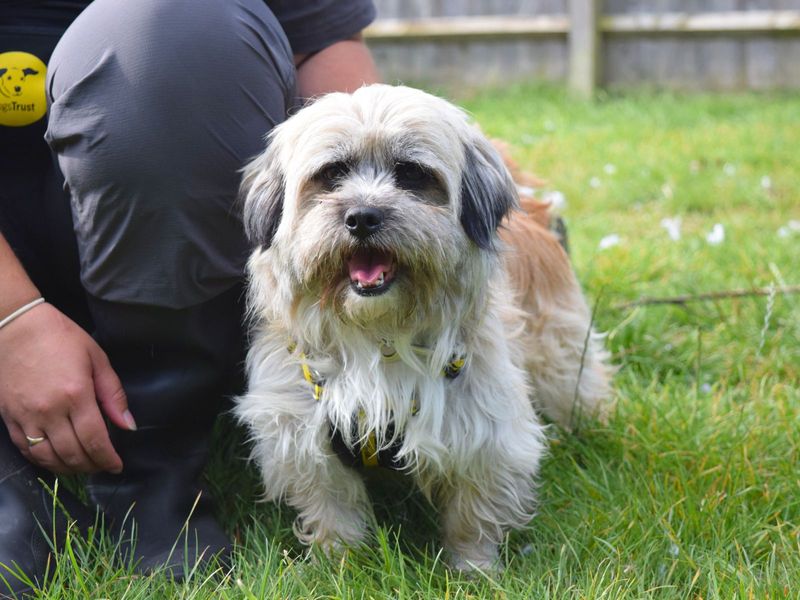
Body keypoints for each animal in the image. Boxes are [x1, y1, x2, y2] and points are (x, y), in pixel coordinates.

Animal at [234, 85, 608, 572]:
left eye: (411, 173)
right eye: (332, 174)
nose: (362, 216)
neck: (378, 336)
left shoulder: (484, 431)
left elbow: (473, 512)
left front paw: (474, 569)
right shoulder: (300, 433)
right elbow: (333, 506)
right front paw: (340, 563)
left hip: (560, 359)